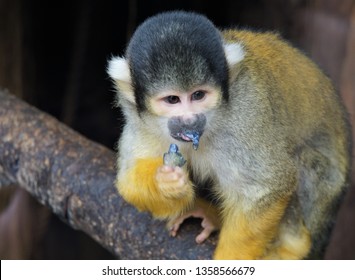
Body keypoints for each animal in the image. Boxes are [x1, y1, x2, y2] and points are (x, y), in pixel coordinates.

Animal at [107, 11, 352, 260]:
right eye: (172, 99)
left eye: (198, 95)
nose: (190, 120)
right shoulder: (139, 119)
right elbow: (128, 182)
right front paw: (166, 183)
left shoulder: (247, 112)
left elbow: (267, 187)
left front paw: (230, 258)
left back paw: (293, 246)